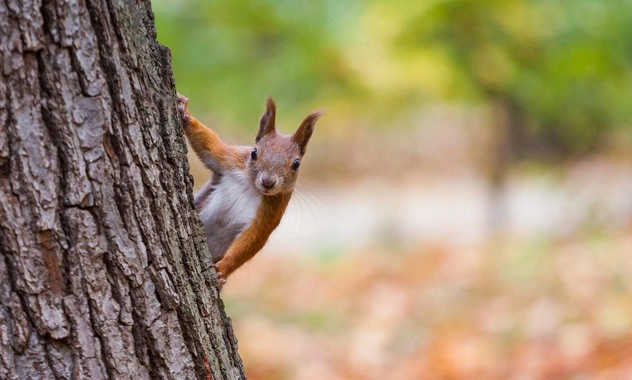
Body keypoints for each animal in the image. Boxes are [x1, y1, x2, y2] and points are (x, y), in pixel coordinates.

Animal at [178, 94, 324, 284]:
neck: (252, 187)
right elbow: (209, 145)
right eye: (254, 153)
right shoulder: (230, 159)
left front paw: (223, 270)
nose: (268, 182)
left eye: (296, 164)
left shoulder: (271, 212)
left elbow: (253, 238)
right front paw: (184, 113)